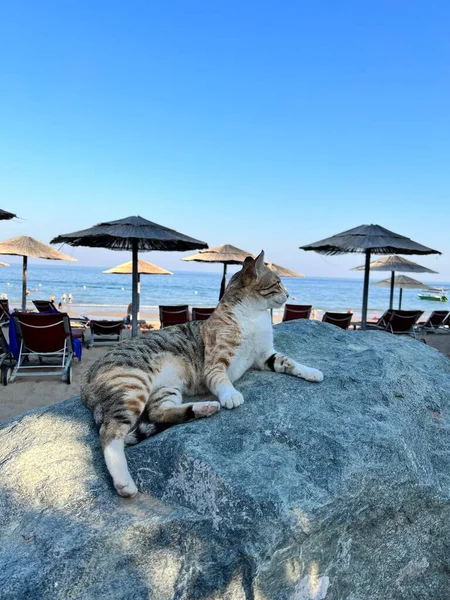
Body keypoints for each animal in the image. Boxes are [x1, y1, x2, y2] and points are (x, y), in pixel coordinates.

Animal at [81, 250, 324, 496]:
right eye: (277, 283)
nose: (289, 294)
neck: (254, 316)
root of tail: (86, 380)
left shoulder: (265, 356)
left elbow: (290, 362)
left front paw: (311, 371)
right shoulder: (215, 363)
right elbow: (222, 379)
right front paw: (231, 395)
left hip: (165, 388)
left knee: (159, 413)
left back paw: (203, 408)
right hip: (133, 385)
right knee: (110, 434)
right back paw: (124, 482)